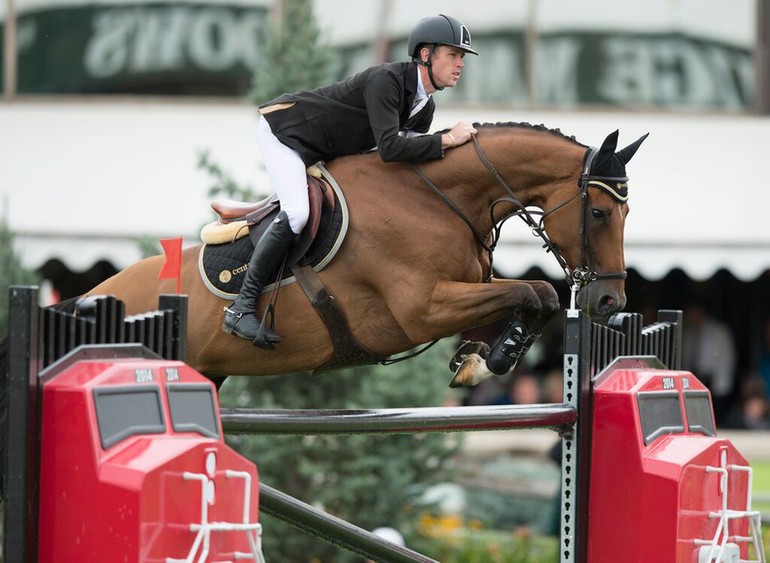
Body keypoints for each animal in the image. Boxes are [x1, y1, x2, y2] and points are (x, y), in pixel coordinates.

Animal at [13, 123, 640, 390]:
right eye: (599, 213)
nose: (611, 301)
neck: (440, 198)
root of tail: (91, 297)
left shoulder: (463, 292)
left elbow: (532, 296)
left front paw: (481, 357)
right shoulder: (421, 309)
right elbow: (535, 290)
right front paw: (492, 358)